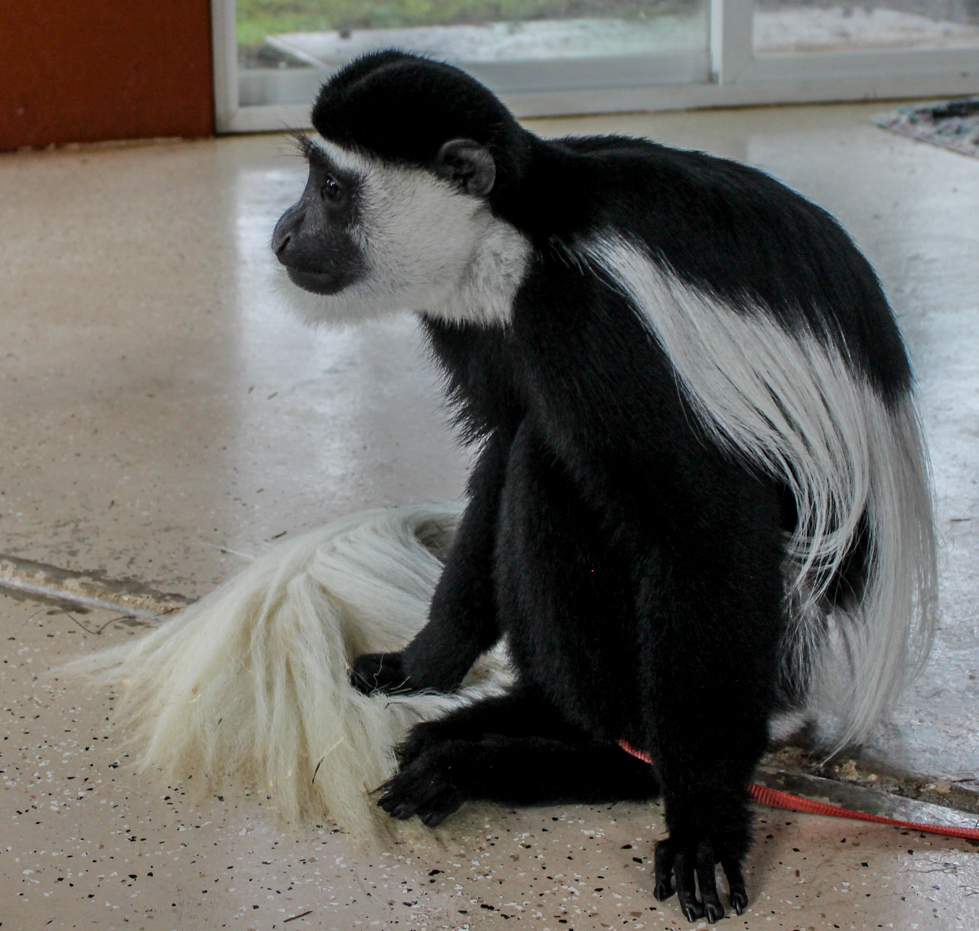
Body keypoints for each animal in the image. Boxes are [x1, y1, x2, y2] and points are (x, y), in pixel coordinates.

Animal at [272, 51, 936, 924]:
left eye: (331, 189)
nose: (283, 234)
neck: (525, 235)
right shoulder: (491, 323)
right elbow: (501, 445)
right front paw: (423, 662)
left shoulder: (600, 322)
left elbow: (705, 531)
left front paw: (703, 829)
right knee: (531, 457)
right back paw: (515, 719)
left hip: (761, 637)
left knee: (559, 473)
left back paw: (575, 762)